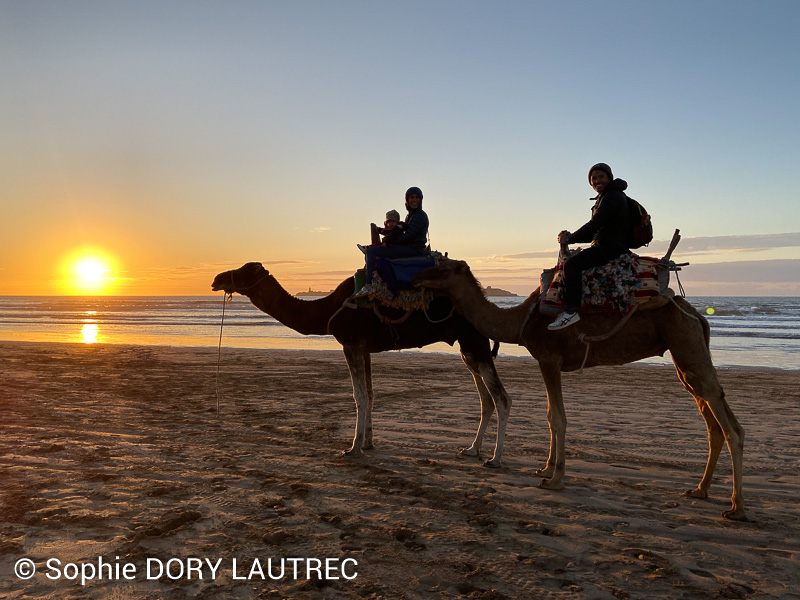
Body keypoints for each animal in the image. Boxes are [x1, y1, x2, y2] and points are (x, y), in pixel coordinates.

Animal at [211, 264, 512, 466]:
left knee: (501, 397)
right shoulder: (365, 348)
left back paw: (495, 458)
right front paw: (367, 443)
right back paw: (472, 449)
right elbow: (369, 393)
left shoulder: (351, 343)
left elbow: (358, 395)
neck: (326, 310)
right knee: (486, 398)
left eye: (245, 270)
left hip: (474, 342)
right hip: (467, 348)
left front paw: (353, 448)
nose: (216, 279)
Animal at [416, 258, 748, 520]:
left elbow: (557, 418)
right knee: (714, 418)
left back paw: (736, 508)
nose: (417, 275)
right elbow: (551, 416)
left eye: (442, 266)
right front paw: (546, 469)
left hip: (686, 344)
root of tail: (699, 316)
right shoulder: (549, 362)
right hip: (685, 360)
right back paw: (700, 490)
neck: (520, 320)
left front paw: (555, 479)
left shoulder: (549, 358)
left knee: (728, 424)